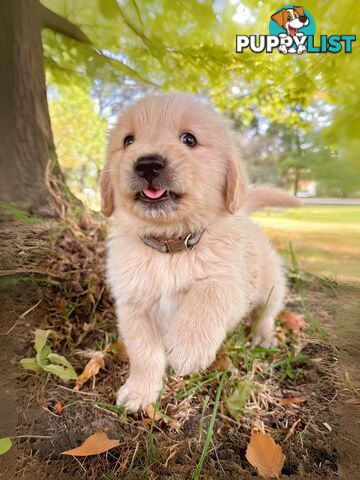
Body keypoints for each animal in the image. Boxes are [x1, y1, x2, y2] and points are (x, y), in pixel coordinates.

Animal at [100, 94, 300, 412]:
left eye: (189, 139)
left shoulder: (232, 283)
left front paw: (188, 346)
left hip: (272, 285)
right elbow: (144, 354)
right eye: (128, 140)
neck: (170, 247)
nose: (147, 165)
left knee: (266, 312)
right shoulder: (133, 306)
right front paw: (140, 392)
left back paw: (263, 336)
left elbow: (209, 294)